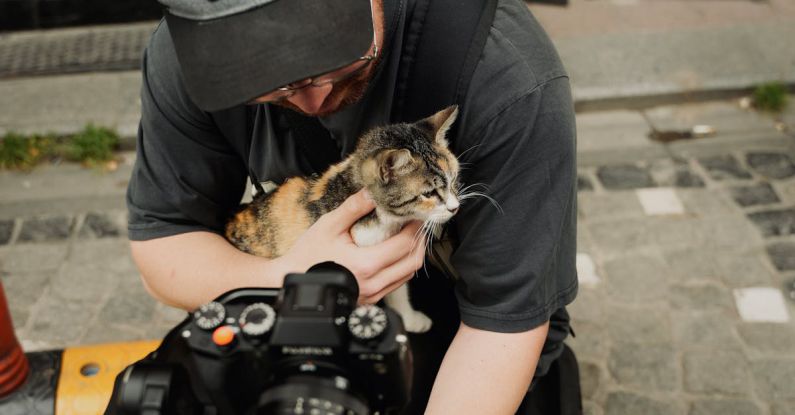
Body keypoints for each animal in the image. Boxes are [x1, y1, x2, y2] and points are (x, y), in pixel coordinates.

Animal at [224, 105, 460, 334]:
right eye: (428, 193)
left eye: (453, 180)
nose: (454, 207)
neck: (385, 220)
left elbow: (398, 290)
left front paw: (409, 320)